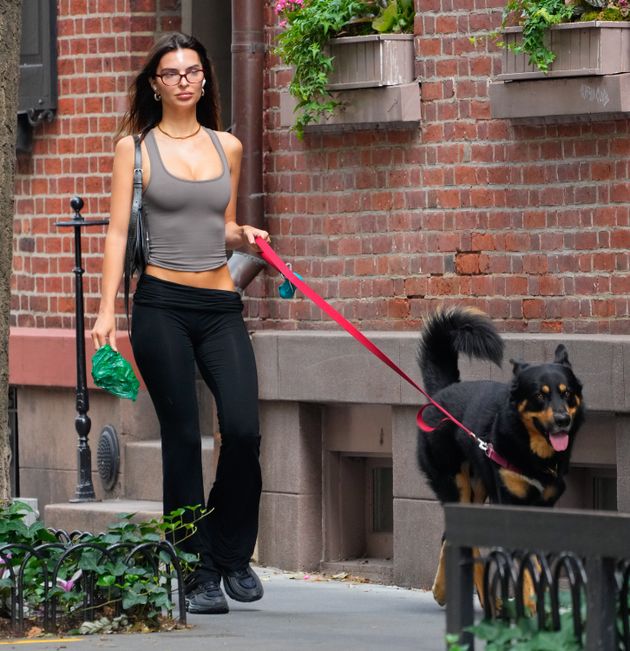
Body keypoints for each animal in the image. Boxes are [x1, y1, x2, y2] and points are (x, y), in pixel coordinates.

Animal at [418, 306, 584, 608]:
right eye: (539, 396)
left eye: (566, 393)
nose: (563, 420)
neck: (532, 453)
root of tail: (440, 393)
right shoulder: (511, 503)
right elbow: (528, 560)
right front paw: (531, 603)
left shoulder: (543, 507)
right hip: (456, 485)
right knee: (461, 539)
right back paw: (478, 598)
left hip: (478, 488)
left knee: (452, 537)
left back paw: (450, 592)